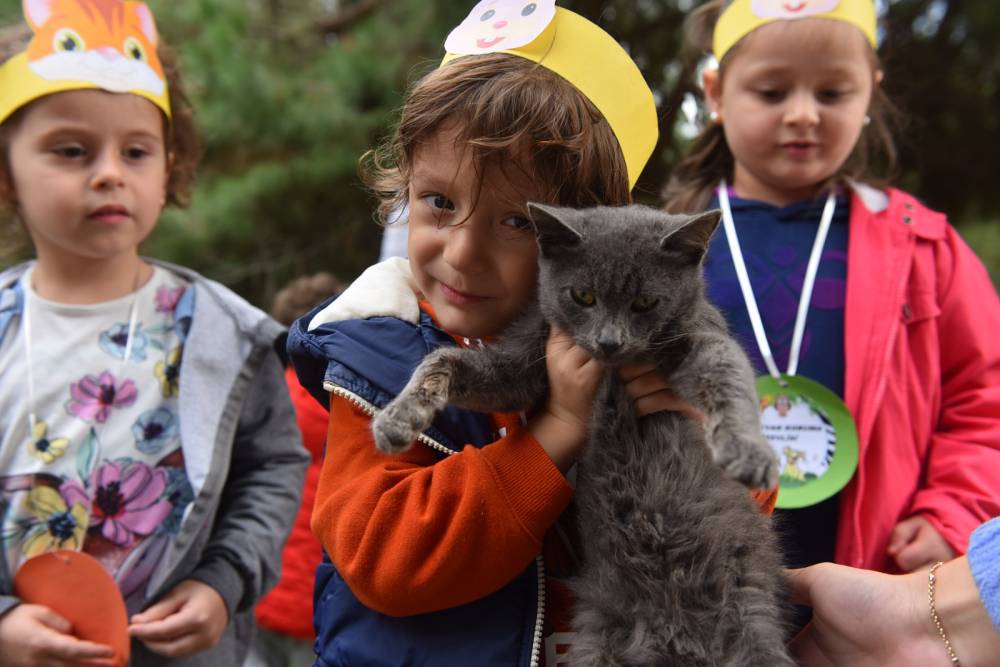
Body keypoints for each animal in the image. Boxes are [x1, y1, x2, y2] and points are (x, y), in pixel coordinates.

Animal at [372, 204, 792, 667]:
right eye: (583, 297)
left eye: (645, 302)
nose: (609, 341)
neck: (613, 369)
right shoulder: (524, 358)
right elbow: (443, 359)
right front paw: (396, 419)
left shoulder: (701, 337)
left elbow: (727, 377)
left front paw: (747, 451)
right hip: (595, 643)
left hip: (750, 627)